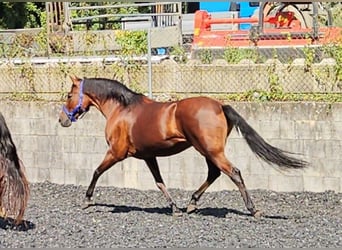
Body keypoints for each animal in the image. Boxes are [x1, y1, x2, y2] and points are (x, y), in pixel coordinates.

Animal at [58, 75, 308, 217]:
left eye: (69, 94)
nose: (62, 120)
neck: (122, 109)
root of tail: (219, 105)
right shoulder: (148, 156)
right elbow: (159, 182)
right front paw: (174, 208)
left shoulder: (116, 152)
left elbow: (96, 171)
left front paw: (87, 200)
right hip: (207, 151)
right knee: (214, 173)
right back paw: (191, 203)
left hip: (211, 150)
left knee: (233, 172)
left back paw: (253, 209)